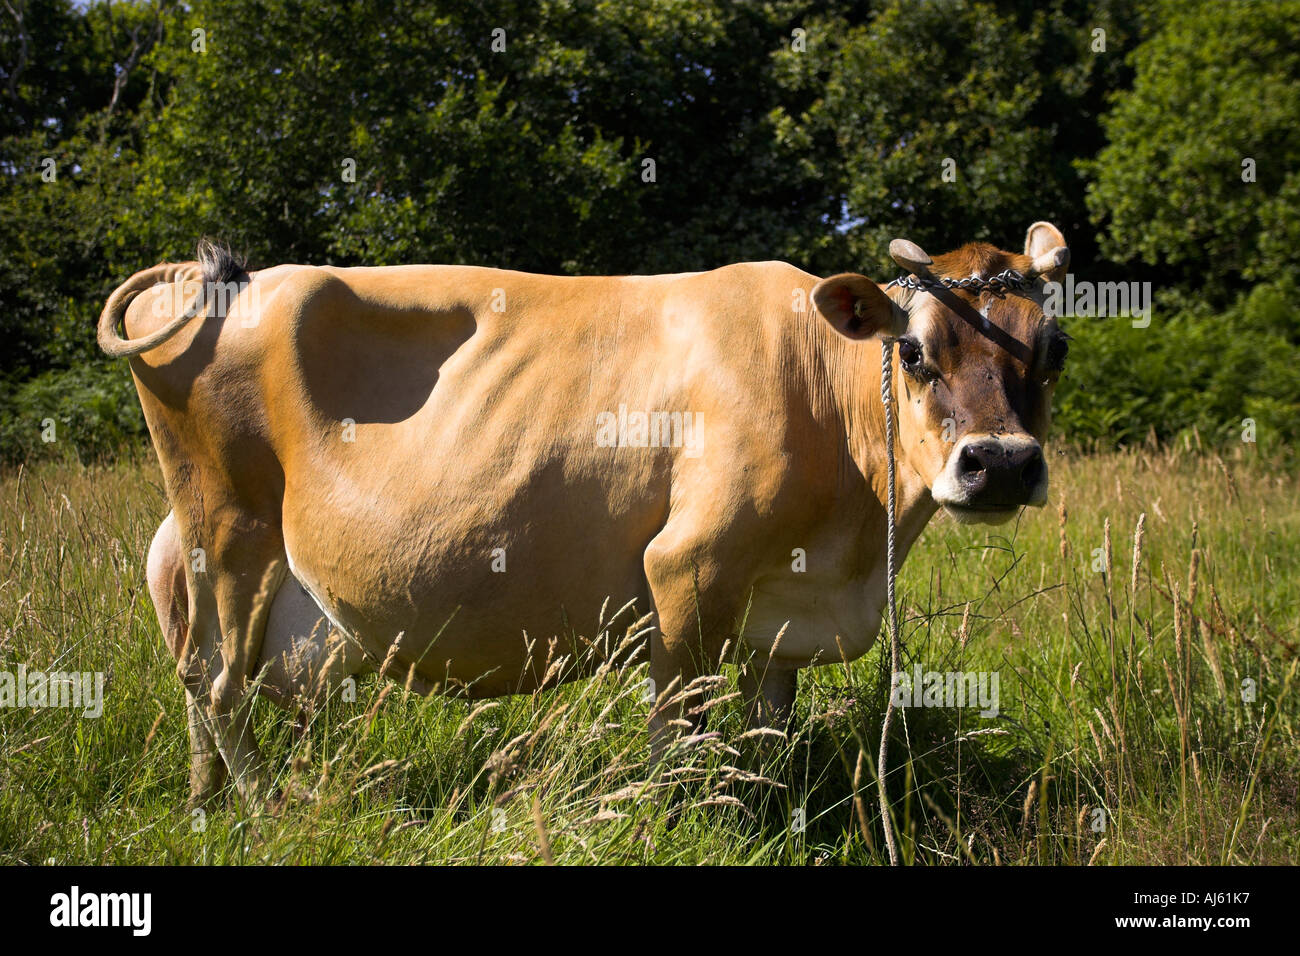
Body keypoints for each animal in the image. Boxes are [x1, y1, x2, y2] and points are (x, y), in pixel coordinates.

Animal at [99, 223, 1071, 808]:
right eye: (913, 352)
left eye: (1054, 349)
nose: (1000, 464)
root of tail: (219, 278)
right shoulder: (687, 569)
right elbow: (678, 737)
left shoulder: (779, 614)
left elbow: (764, 736)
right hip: (229, 532)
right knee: (219, 690)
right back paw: (266, 814)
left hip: (212, 561)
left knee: (198, 677)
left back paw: (205, 809)